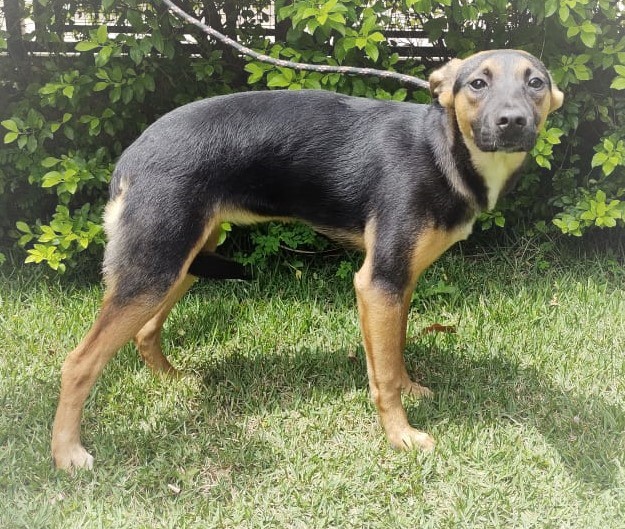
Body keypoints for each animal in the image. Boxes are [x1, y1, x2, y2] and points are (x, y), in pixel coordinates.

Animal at [51, 50, 564, 470]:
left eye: (535, 82)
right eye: (477, 83)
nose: (513, 121)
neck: (443, 151)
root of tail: (131, 156)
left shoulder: (399, 280)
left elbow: (395, 350)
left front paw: (411, 388)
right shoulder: (377, 282)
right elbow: (383, 375)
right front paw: (400, 436)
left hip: (182, 258)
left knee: (144, 331)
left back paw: (174, 381)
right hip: (156, 264)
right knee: (79, 363)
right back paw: (67, 454)